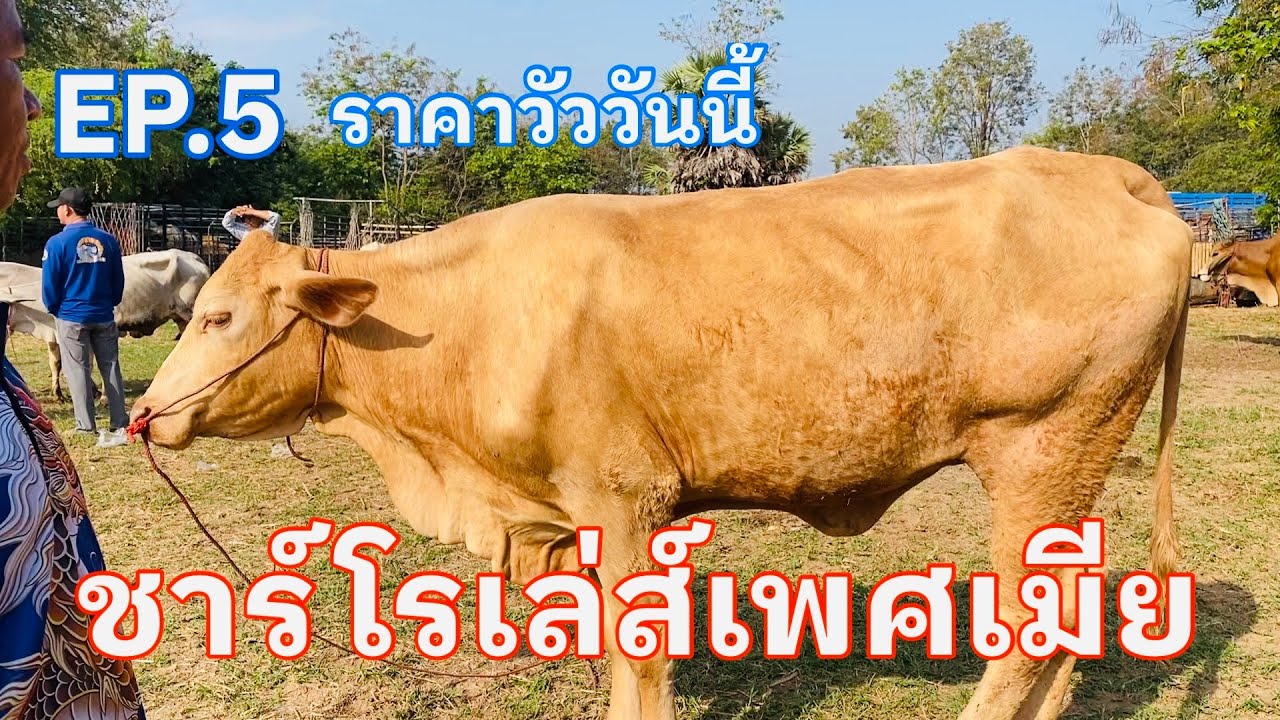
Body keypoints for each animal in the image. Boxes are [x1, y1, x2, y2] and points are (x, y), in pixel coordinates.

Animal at [0, 249, 210, 400]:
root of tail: (195, 258)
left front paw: (101, 396)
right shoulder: (55, 336)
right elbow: (57, 363)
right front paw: (59, 394)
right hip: (181, 320)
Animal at [131, 146, 1192, 720]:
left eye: (219, 316)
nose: (144, 414)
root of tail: (1105, 173)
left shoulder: (625, 500)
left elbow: (638, 651)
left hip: (1042, 449)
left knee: (1030, 627)